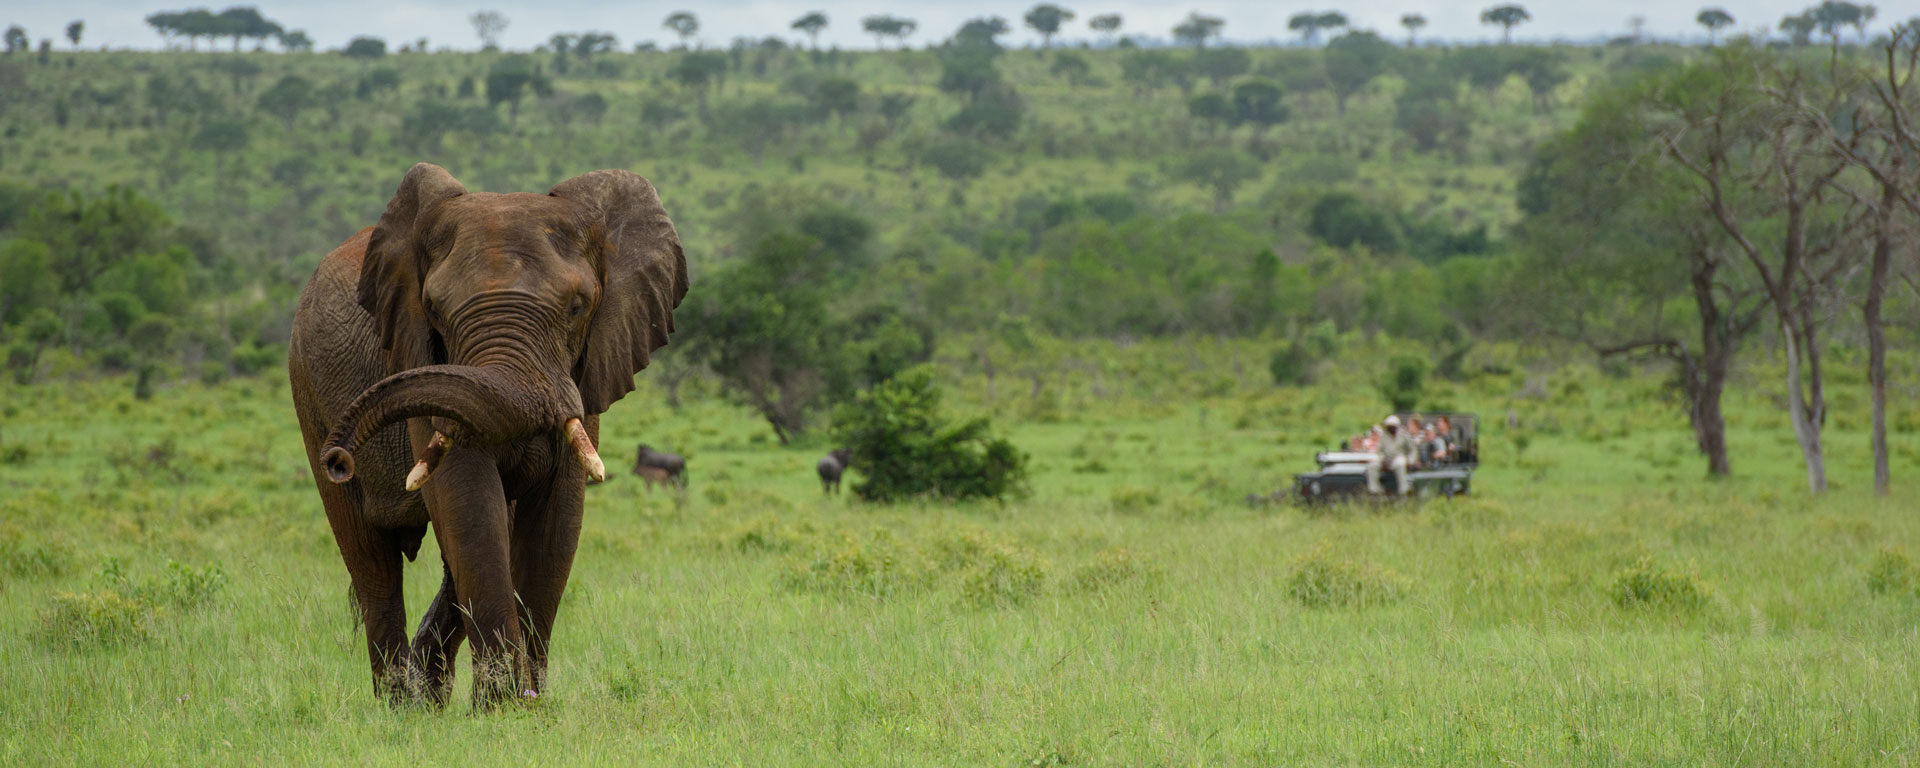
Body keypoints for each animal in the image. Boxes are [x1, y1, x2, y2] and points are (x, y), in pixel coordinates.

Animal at [289, 162, 691, 706]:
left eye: (578, 306)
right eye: (434, 309)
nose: (340, 457)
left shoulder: (586, 373)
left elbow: (556, 522)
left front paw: (529, 705)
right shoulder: (419, 357)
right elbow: (469, 506)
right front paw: (503, 708)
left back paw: (429, 698)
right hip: (306, 389)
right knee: (371, 563)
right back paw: (400, 708)